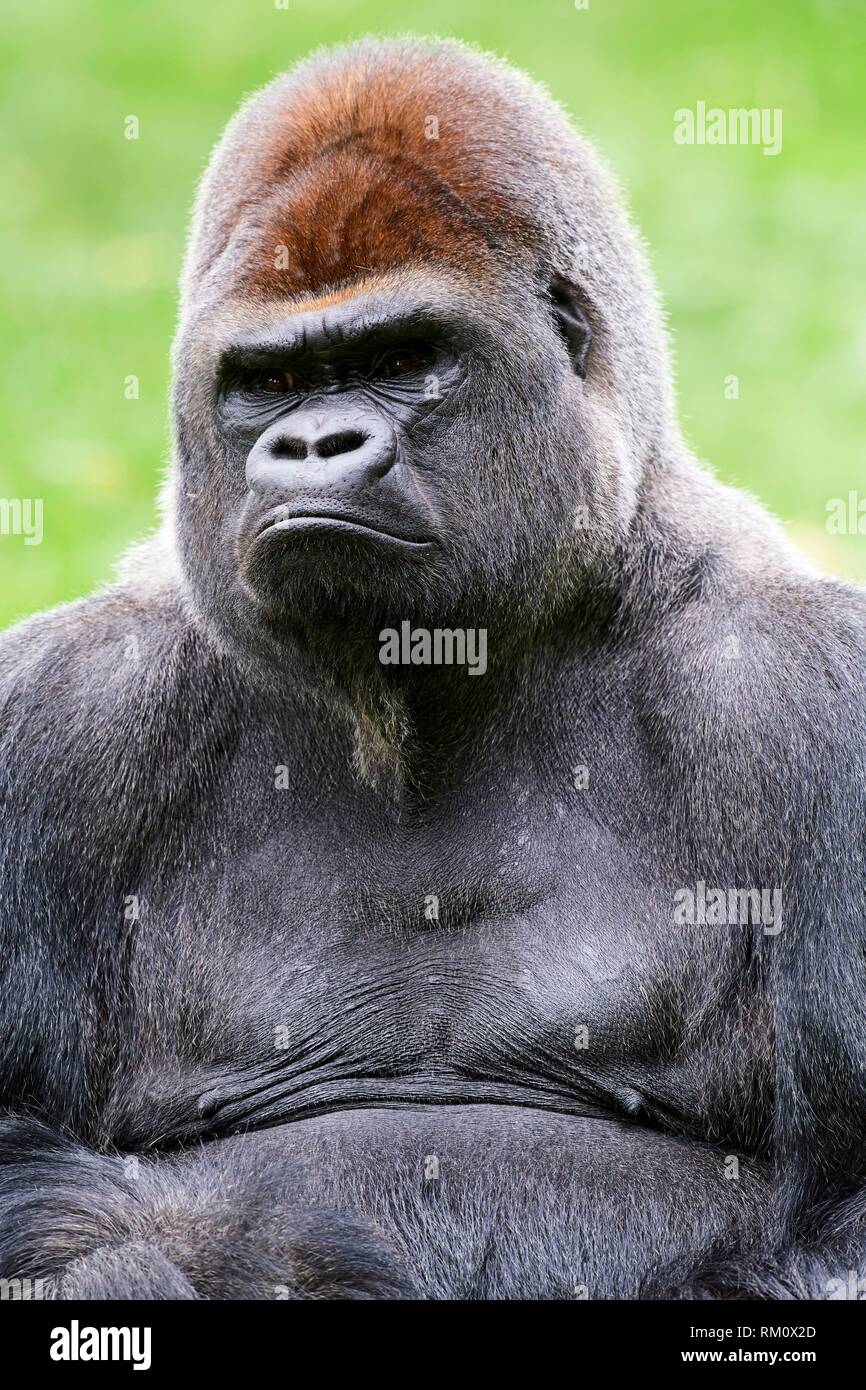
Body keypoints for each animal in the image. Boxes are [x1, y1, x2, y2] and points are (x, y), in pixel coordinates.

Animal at [0, 36, 864, 1300]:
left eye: (404, 357)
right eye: (269, 382)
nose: (312, 445)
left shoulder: (806, 695)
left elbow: (843, 1206)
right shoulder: (59, 717)